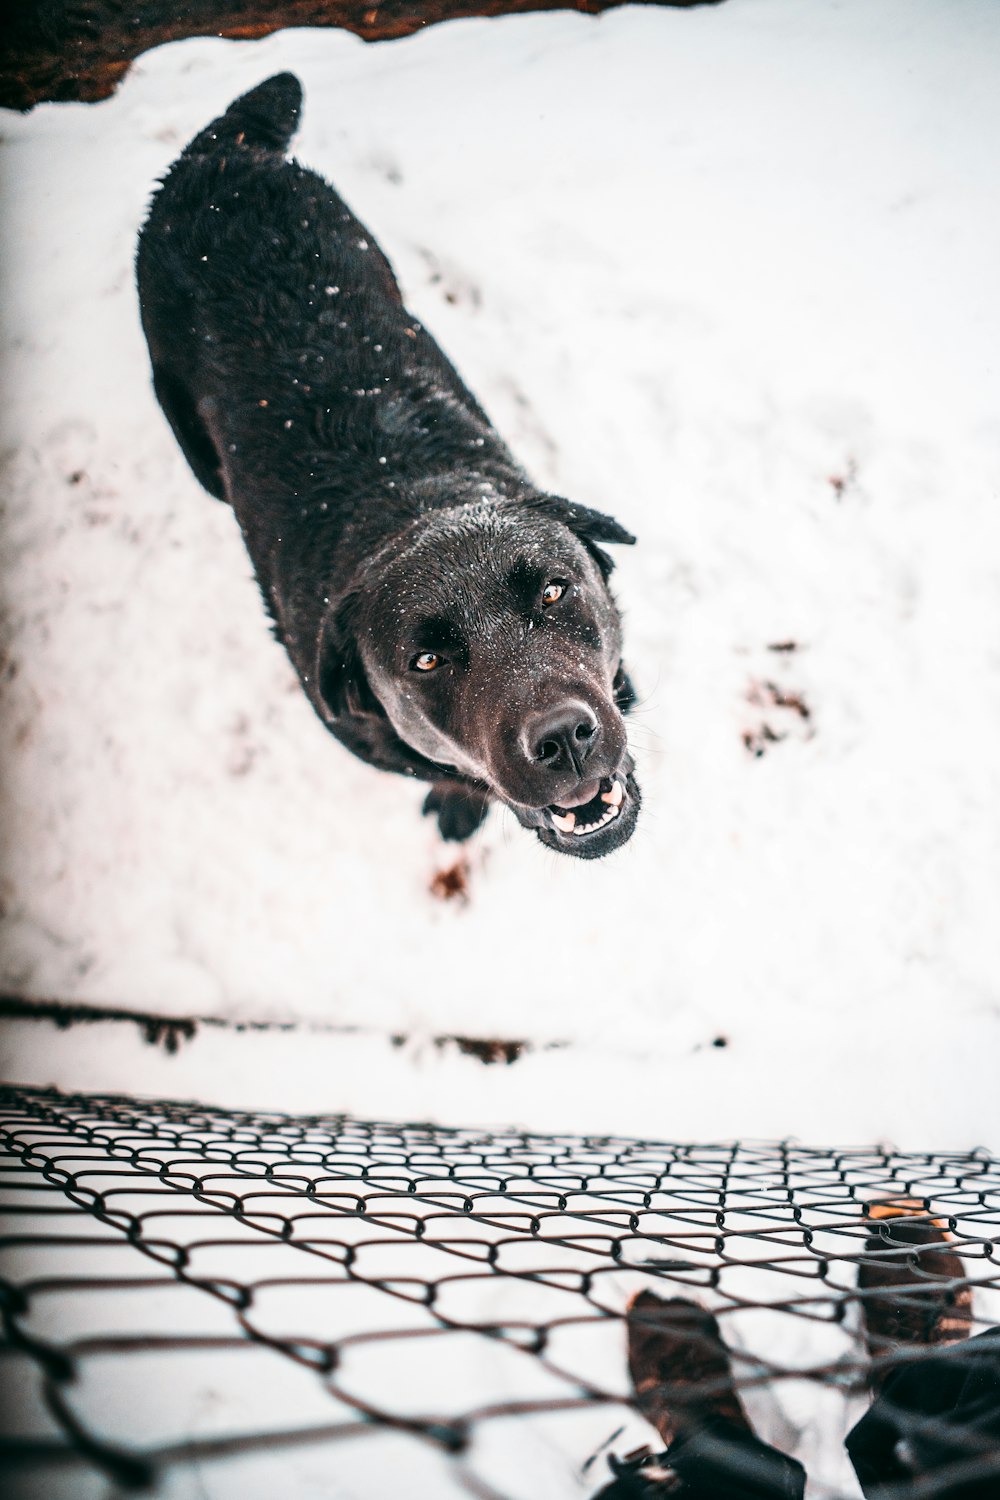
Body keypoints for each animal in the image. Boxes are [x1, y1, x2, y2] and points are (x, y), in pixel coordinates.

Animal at [137, 76, 641, 864]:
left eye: (556, 591)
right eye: (425, 663)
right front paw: (461, 804)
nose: (563, 738)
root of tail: (219, 158)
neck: (410, 501)